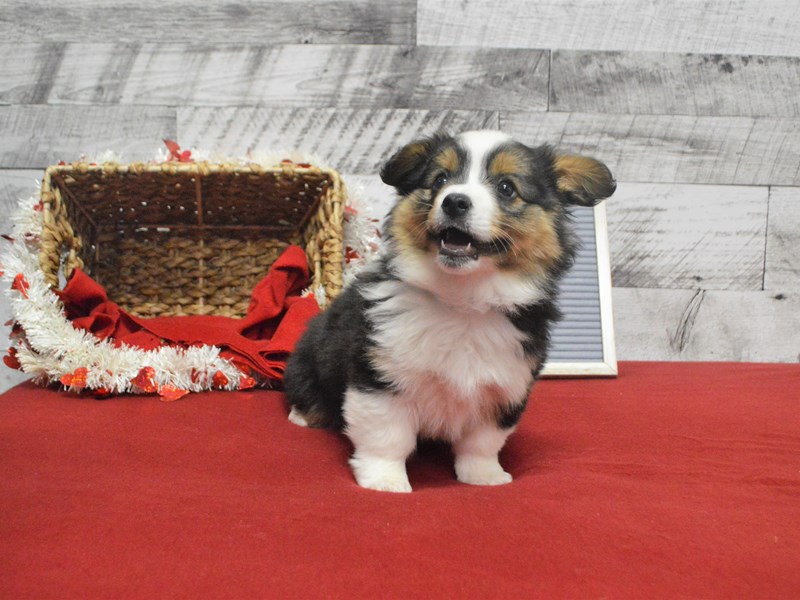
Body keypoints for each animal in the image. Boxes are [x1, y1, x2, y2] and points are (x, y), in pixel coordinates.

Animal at [284, 130, 616, 492]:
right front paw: (385, 481)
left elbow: (482, 444)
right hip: (307, 361)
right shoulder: (380, 379)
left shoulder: (504, 391)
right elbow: (387, 438)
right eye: (440, 179)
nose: (454, 201)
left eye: (506, 188)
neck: (463, 302)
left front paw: (485, 477)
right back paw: (304, 416)